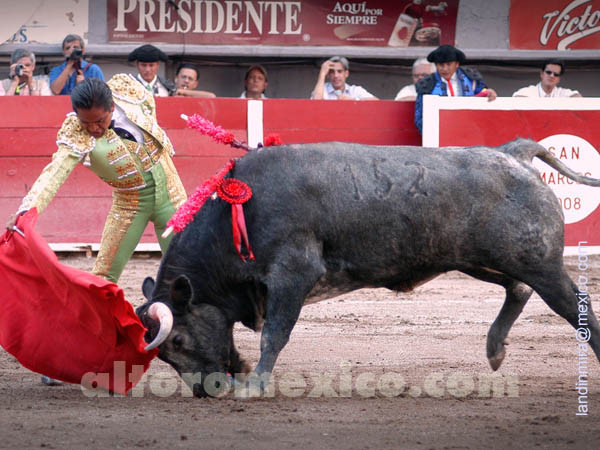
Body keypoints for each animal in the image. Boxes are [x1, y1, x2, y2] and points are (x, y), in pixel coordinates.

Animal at [137, 138, 600, 398]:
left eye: (177, 340)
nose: (205, 391)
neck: (240, 210)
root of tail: (513, 155)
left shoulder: (292, 274)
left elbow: (274, 334)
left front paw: (255, 388)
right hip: (476, 259)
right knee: (517, 289)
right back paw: (494, 349)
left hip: (538, 262)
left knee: (574, 303)